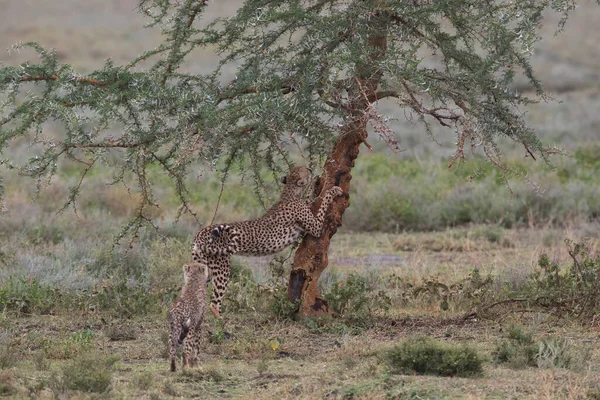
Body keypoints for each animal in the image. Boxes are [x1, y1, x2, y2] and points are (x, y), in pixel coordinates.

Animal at [192, 165, 342, 318]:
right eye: (304, 169)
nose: (310, 169)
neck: (289, 192)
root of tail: (201, 232)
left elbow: (310, 199)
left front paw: (315, 184)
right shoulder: (316, 228)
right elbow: (322, 203)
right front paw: (333, 191)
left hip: (205, 266)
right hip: (222, 267)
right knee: (214, 302)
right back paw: (221, 321)